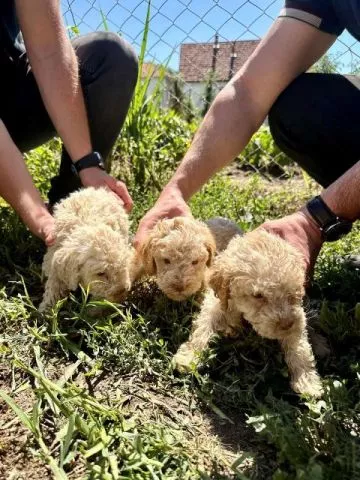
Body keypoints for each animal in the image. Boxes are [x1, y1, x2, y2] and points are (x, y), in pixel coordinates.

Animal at [174, 229, 324, 398]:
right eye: (258, 295)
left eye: (293, 293)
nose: (287, 324)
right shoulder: (214, 305)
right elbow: (201, 330)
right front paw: (188, 358)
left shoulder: (298, 317)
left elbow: (300, 348)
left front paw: (307, 382)